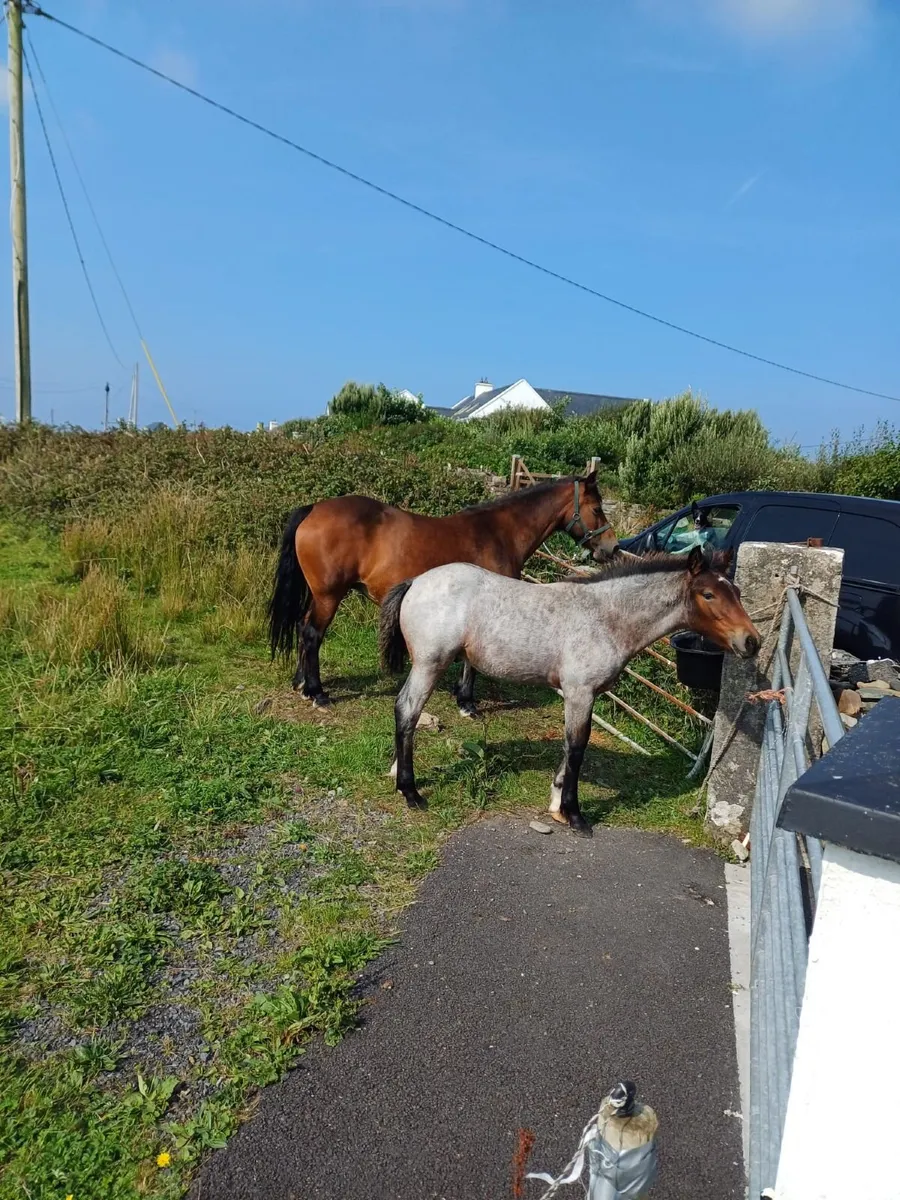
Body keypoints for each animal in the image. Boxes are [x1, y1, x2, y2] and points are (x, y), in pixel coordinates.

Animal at [267, 471, 619, 711]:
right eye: (597, 508)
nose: (612, 547)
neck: (498, 533)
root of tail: (314, 509)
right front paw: (467, 702)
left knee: (302, 628)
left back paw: (301, 683)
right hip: (329, 595)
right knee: (312, 633)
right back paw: (317, 692)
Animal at [379, 544, 760, 837]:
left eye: (738, 593)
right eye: (708, 594)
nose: (751, 642)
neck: (606, 617)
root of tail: (416, 582)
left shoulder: (578, 695)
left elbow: (569, 746)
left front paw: (557, 806)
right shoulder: (580, 692)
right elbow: (577, 747)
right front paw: (575, 815)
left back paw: (397, 775)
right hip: (430, 664)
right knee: (407, 710)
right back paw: (410, 791)